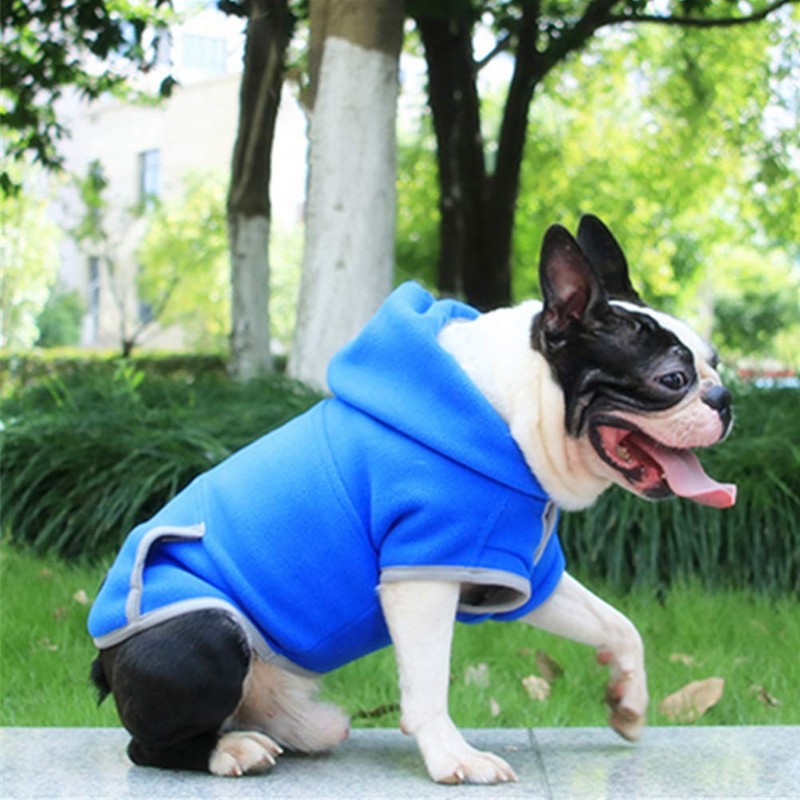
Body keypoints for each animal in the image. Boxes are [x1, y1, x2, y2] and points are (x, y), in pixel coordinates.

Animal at [88, 215, 735, 784]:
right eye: (672, 380)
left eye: (715, 362)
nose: (724, 398)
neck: (508, 409)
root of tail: (106, 663)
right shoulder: (423, 570)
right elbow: (428, 683)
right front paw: (454, 758)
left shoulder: (517, 569)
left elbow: (618, 624)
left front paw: (628, 697)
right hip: (207, 634)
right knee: (146, 746)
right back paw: (230, 751)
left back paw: (288, 729)